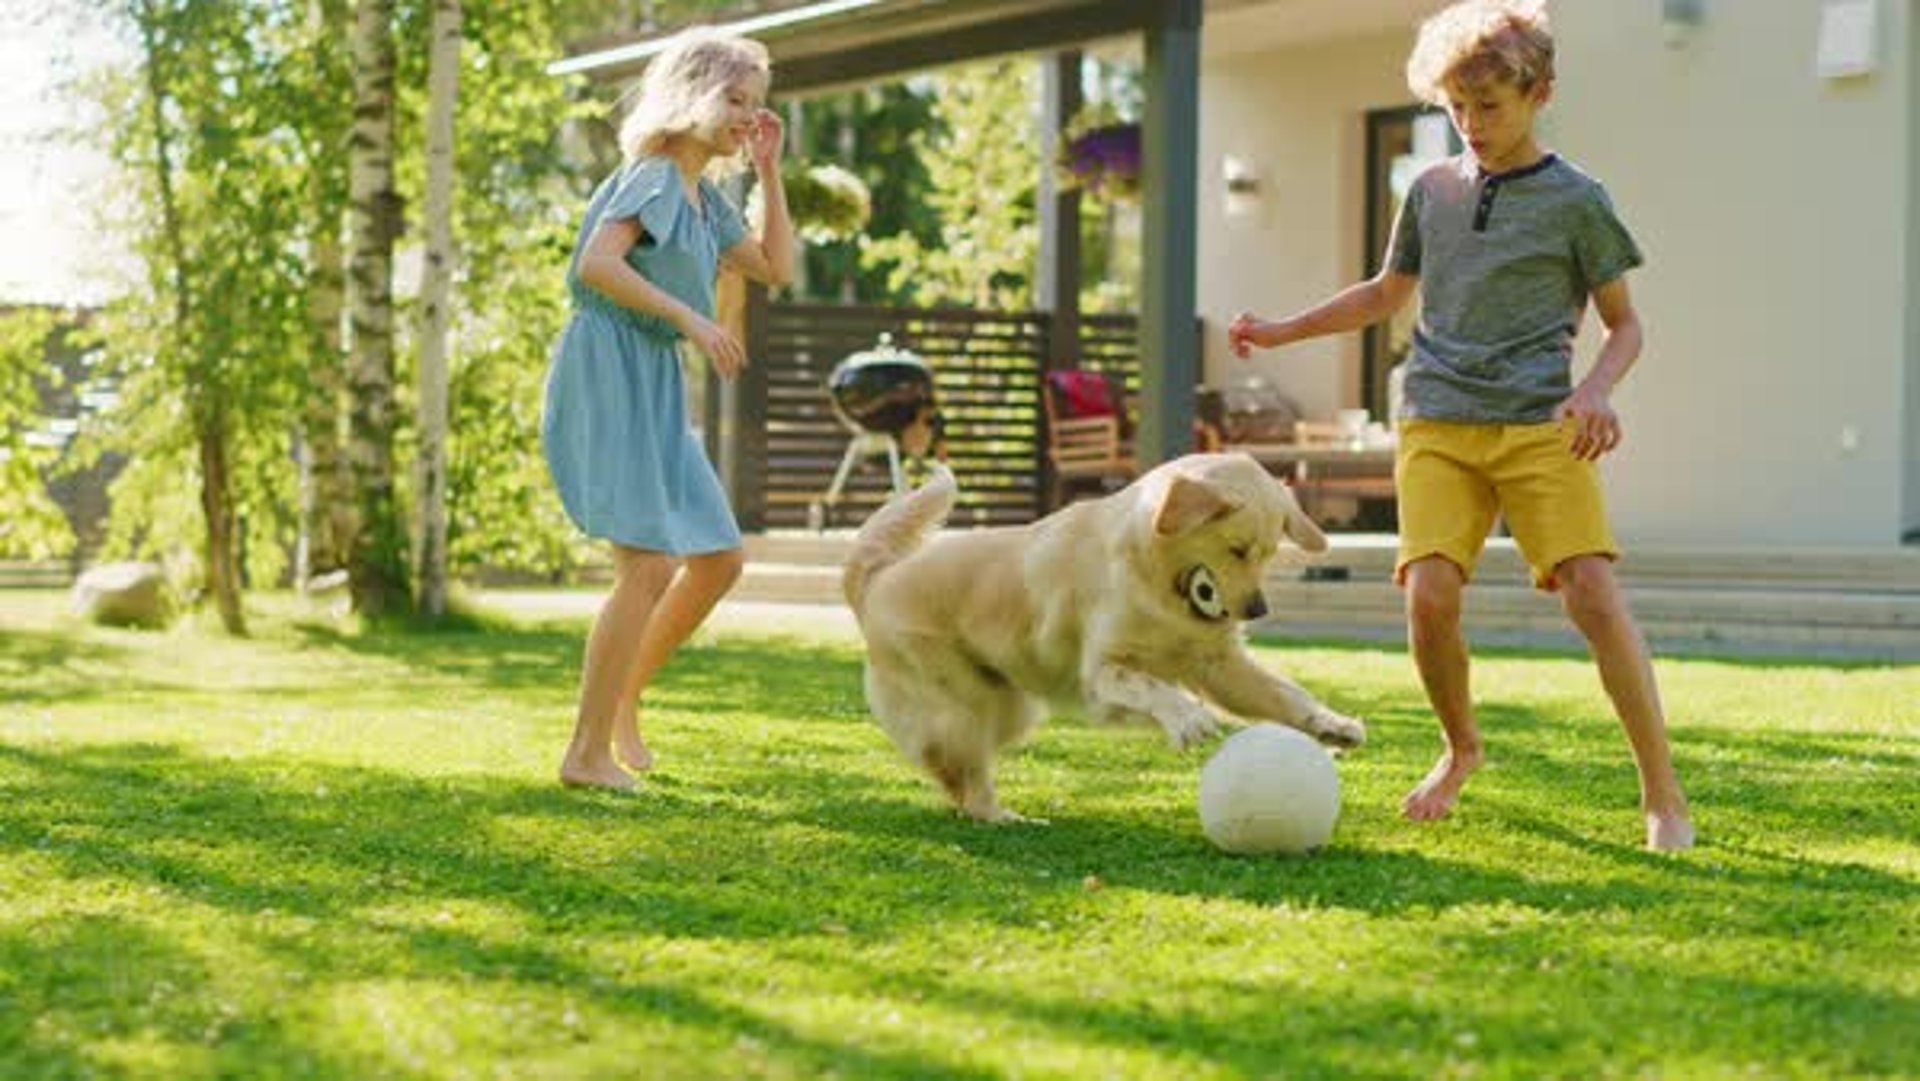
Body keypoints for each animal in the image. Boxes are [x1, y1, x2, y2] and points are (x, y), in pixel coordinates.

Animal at [844, 455, 1367, 821]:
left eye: (1270, 553)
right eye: (1237, 549)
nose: (1258, 610)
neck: (1161, 586)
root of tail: (876, 578)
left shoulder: (1221, 666)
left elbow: (1285, 694)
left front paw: (1331, 724)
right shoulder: (1102, 672)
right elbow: (1154, 685)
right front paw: (1187, 718)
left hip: (1010, 707)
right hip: (966, 707)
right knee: (959, 770)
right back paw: (1000, 815)